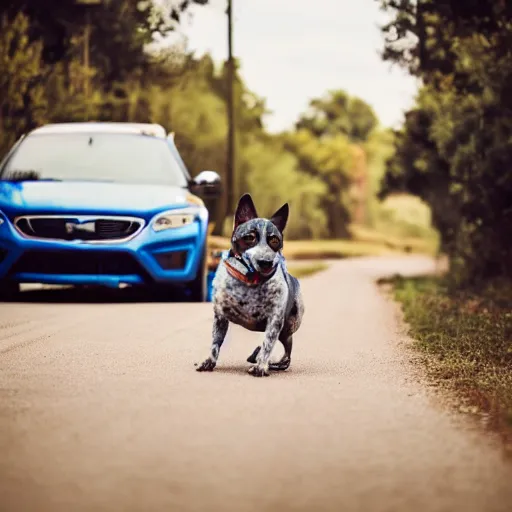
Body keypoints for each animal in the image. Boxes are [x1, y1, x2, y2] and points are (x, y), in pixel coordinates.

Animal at [196, 194, 304, 378]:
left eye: (274, 240)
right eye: (249, 237)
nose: (266, 262)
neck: (251, 282)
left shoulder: (275, 320)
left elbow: (268, 343)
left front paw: (261, 366)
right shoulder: (220, 317)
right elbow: (215, 343)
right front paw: (209, 361)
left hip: (288, 328)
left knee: (286, 356)